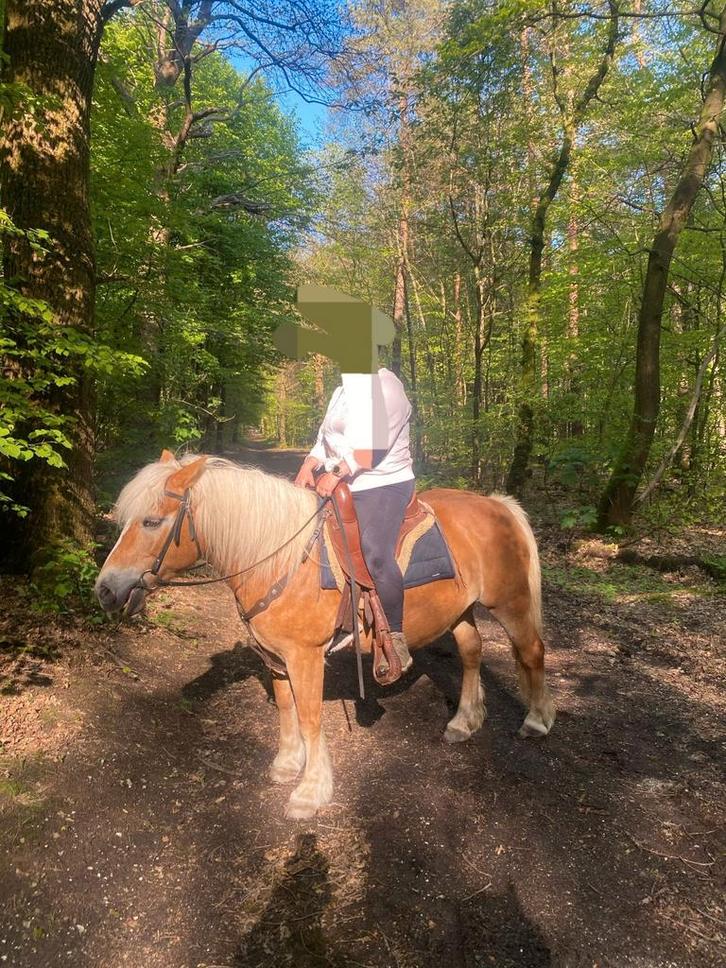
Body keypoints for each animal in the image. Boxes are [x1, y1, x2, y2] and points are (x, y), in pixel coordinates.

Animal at [95, 450, 555, 819]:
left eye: (152, 521)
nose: (105, 589)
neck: (281, 558)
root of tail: (498, 505)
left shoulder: (306, 655)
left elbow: (311, 717)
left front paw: (310, 792)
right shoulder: (275, 657)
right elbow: (287, 710)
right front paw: (287, 764)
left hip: (509, 602)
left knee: (532, 651)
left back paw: (536, 720)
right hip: (460, 610)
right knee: (473, 653)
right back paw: (464, 721)